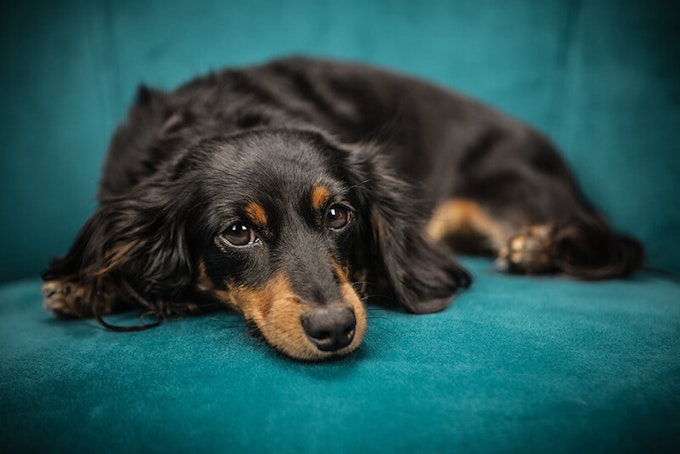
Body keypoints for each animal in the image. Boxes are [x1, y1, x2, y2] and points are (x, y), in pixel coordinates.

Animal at [42, 56, 644, 362]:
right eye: (236, 231)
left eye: (338, 215)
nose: (334, 329)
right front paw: (84, 283)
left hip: (506, 190)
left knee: (614, 244)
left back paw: (538, 246)